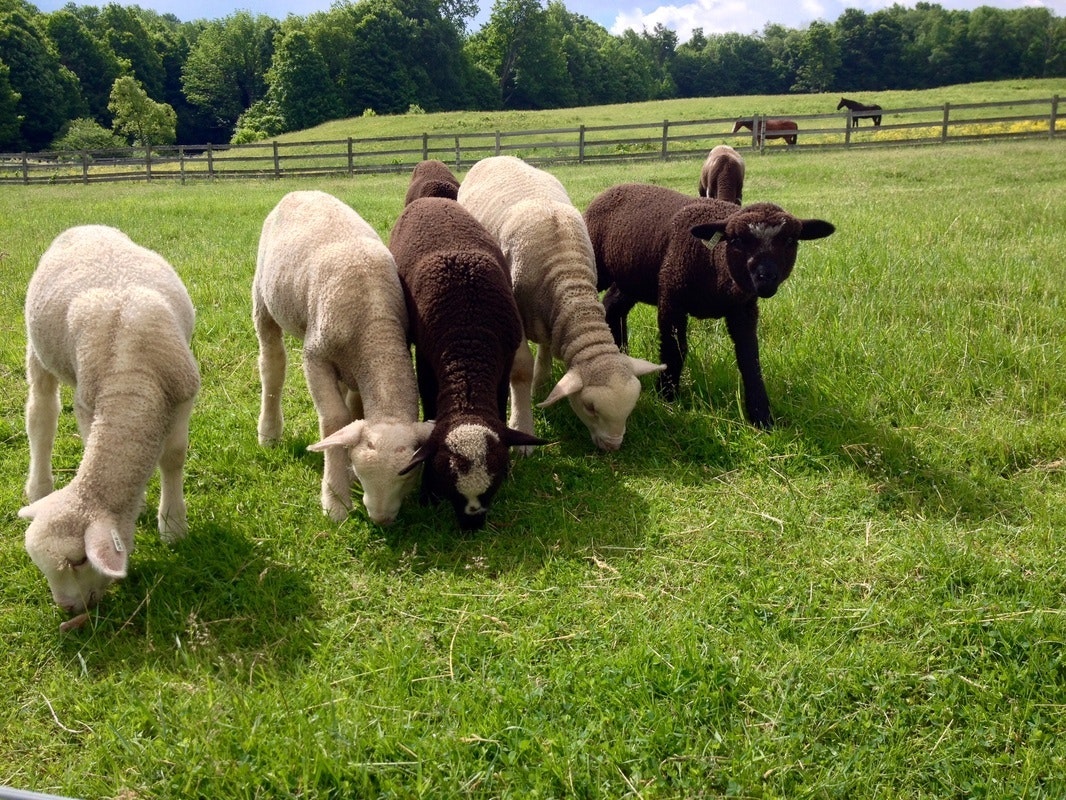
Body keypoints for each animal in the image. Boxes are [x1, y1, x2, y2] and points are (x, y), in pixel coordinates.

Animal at [18, 225, 200, 621]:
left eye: (77, 560)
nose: (68, 608)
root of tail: (84, 226)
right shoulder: (89, 405)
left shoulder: (183, 399)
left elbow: (173, 458)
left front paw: (172, 525)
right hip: (39, 350)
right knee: (41, 415)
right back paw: (39, 486)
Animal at [254, 190, 434, 525]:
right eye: (363, 473)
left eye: (408, 473)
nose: (381, 519)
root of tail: (301, 192)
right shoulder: (315, 357)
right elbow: (335, 419)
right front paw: (335, 500)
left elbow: (354, 410)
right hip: (263, 299)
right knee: (272, 364)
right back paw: (269, 433)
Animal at [388, 197, 546, 529]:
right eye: (449, 486)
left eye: (493, 485)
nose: (472, 525)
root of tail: (431, 199)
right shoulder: (426, 359)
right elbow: (430, 409)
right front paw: (427, 493)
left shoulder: (503, 361)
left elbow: (500, 401)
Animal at [457, 156, 664, 452]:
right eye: (590, 407)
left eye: (631, 406)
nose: (612, 446)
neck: (567, 275)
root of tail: (497, 156)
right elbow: (520, 370)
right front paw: (522, 429)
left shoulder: (549, 314)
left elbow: (545, 347)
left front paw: (541, 385)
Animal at [585, 183, 835, 428]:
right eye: (737, 240)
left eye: (790, 241)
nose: (766, 278)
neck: (715, 261)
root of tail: (610, 190)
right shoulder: (671, 296)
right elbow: (675, 348)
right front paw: (667, 397)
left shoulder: (744, 309)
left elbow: (749, 357)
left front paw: (762, 417)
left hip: (632, 279)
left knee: (613, 307)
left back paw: (621, 356)